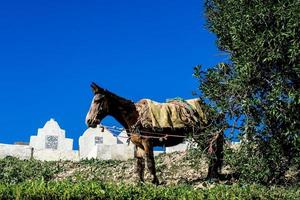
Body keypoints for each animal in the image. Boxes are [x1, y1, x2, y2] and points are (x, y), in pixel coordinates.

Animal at [85, 82, 224, 184]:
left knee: (212, 153)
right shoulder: (139, 145)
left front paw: (155, 182)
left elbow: (150, 163)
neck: (135, 116)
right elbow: (139, 165)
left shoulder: (147, 142)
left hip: (205, 136)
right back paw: (210, 176)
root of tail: (210, 110)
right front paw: (140, 183)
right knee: (211, 153)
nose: (89, 121)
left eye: (97, 100)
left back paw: (212, 178)